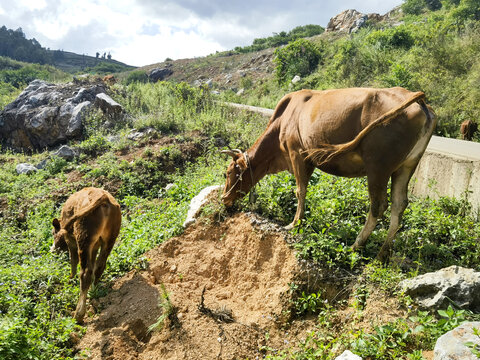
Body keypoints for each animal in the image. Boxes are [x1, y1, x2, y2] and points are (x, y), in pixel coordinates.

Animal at [50, 187, 121, 322]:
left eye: (53, 233)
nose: (52, 250)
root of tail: (104, 198)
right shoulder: (95, 246)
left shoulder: (70, 240)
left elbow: (73, 261)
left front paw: (69, 279)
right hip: (110, 239)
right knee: (100, 266)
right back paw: (95, 290)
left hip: (84, 238)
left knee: (85, 273)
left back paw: (78, 314)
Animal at [223, 87, 436, 262]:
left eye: (228, 173)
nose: (224, 198)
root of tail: (416, 99)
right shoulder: (307, 161)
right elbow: (302, 189)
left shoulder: (296, 154)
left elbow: (300, 190)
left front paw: (294, 223)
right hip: (406, 167)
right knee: (399, 205)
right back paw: (382, 253)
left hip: (378, 167)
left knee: (379, 205)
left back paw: (356, 245)